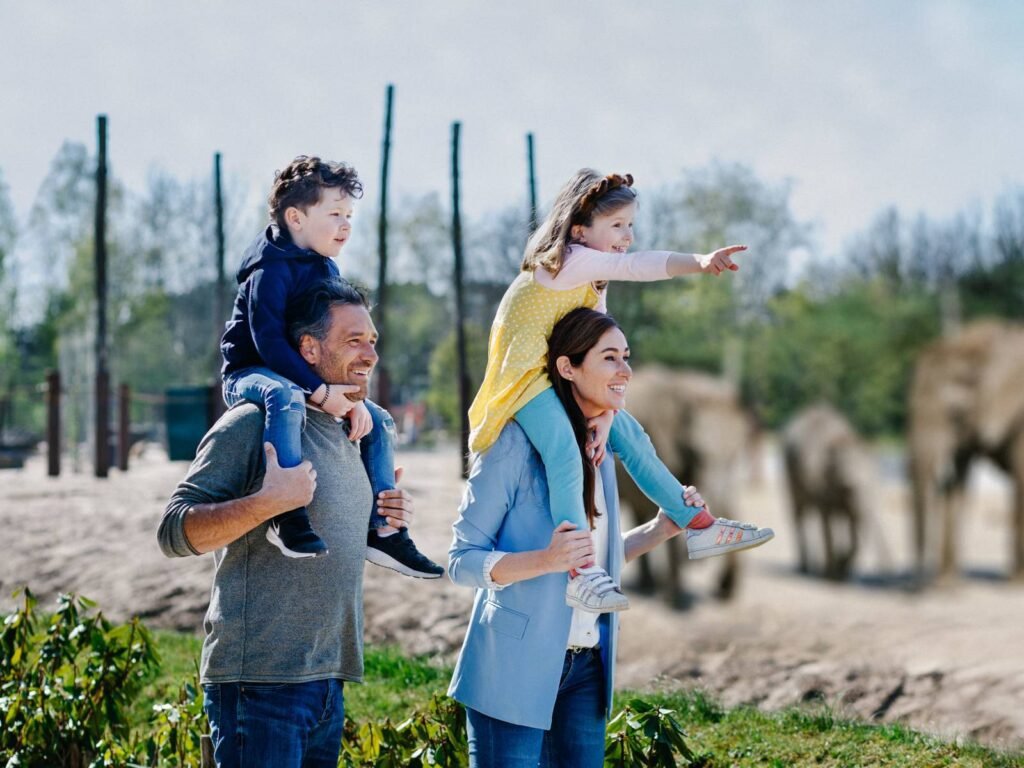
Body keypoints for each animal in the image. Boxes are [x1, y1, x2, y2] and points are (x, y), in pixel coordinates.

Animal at [610, 370, 749, 610]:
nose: (723, 591)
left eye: (735, 454)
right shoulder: (662, 441)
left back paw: (649, 584)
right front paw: (675, 600)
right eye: (696, 453)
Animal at [782, 405, 872, 581]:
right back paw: (806, 569)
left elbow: (849, 522)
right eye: (848, 486)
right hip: (790, 472)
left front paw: (842, 571)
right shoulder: (821, 483)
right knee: (800, 513)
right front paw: (832, 575)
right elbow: (827, 519)